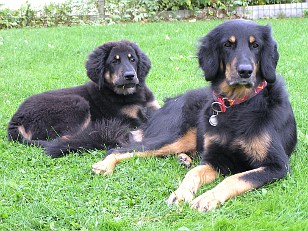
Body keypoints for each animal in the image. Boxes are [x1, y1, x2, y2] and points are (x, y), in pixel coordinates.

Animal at [7, 40, 159, 158]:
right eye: (114, 62)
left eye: (133, 59)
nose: (130, 76)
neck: (130, 94)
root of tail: (16, 120)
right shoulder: (128, 118)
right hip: (78, 103)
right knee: (66, 137)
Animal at [92, 20, 298, 212]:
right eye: (227, 45)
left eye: (255, 45)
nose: (245, 71)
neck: (238, 105)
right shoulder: (216, 159)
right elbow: (195, 173)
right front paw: (181, 193)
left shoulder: (277, 166)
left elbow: (235, 178)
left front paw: (206, 198)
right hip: (174, 137)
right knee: (117, 150)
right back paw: (105, 165)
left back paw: (184, 159)